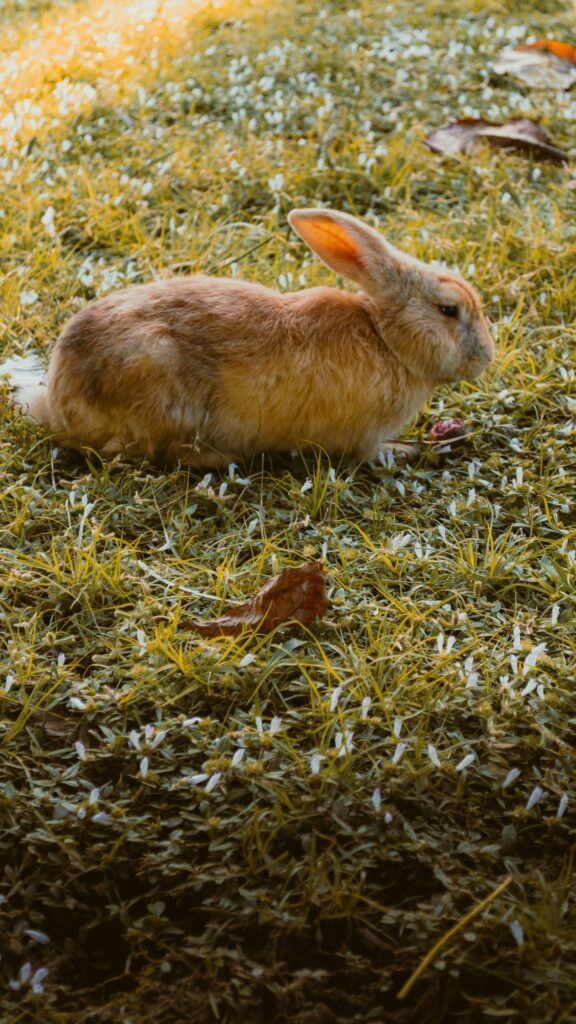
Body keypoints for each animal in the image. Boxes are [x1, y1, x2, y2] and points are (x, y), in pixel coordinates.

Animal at [3, 208, 495, 468]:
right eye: (449, 310)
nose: (487, 357)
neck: (386, 338)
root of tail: (58, 400)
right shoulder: (360, 438)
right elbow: (370, 452)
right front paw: (406, 450)